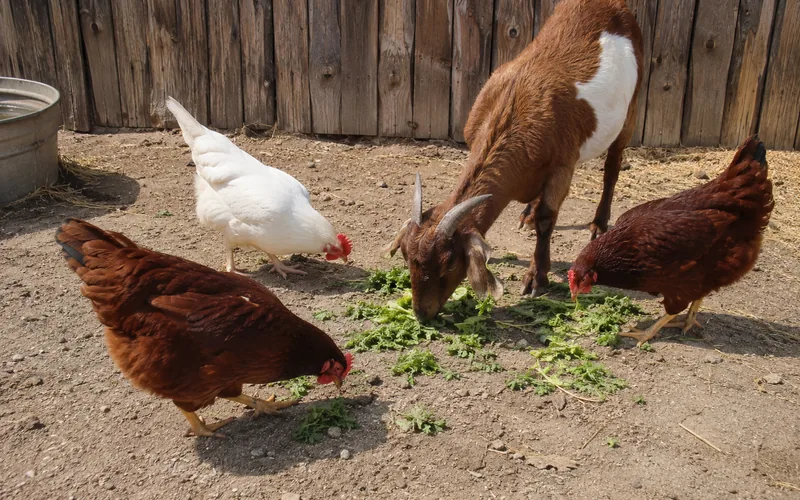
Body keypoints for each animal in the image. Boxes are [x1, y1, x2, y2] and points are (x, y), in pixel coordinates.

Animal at [386, 0, 643, 321]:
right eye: (406, 255)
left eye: (450, 263)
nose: (422, 313)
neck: (517, 106)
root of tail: (612, 6)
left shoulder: (563, 165)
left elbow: (547, 219)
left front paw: (536, 278)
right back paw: (527, 214)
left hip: (629, 113)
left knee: (612, 168)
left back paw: (598, 224)